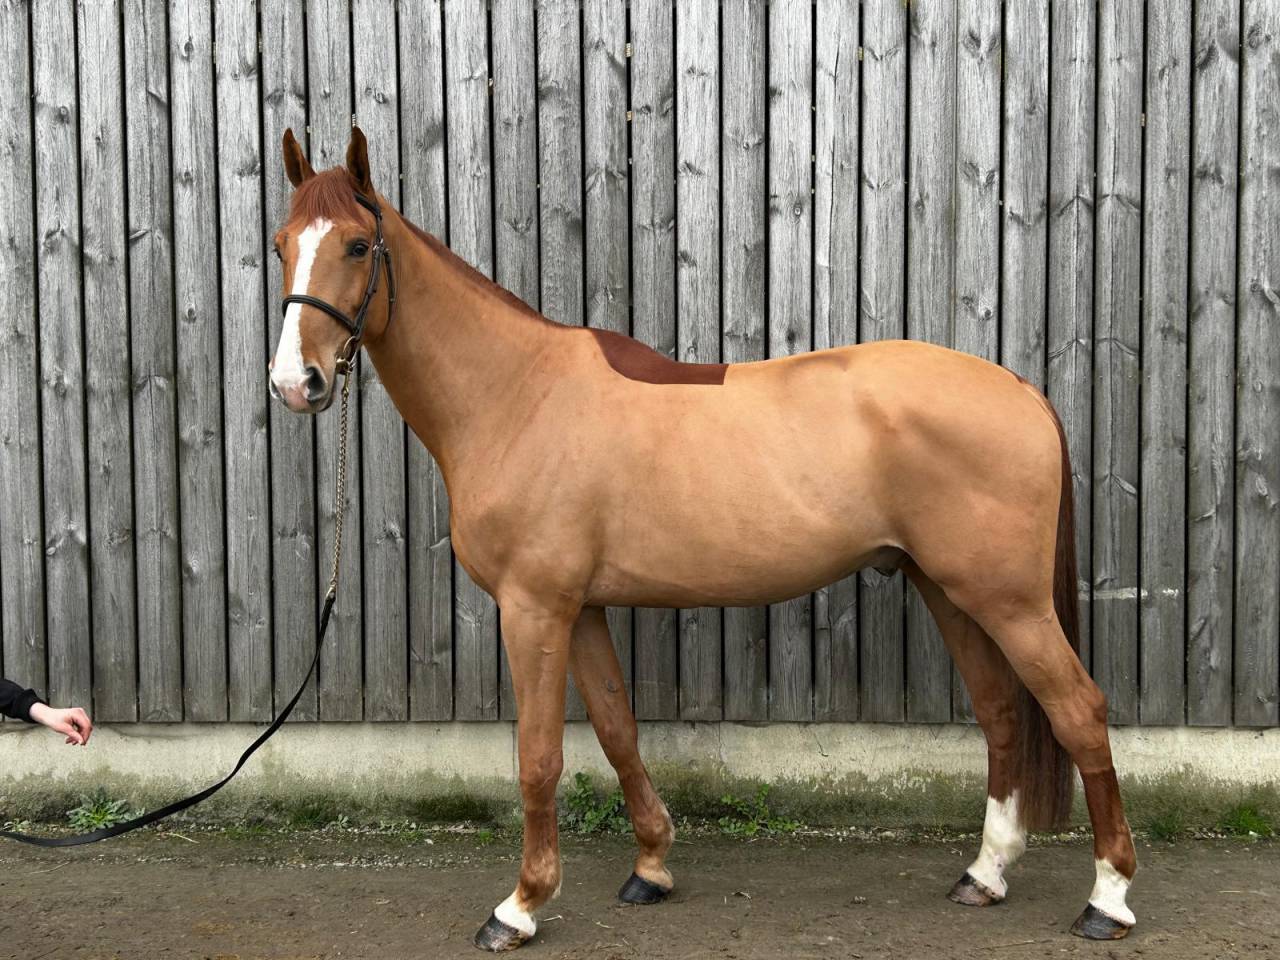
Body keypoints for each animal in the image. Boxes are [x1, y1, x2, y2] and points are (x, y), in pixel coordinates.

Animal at [266, 127, 1136, 952]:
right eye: (281, 243)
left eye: (356, 245)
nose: (295, 383)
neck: (518, 393)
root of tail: (1021, 390)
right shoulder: (582, 608)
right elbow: (617, 730)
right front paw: (651, 865)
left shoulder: (534, 607)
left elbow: (539, 759)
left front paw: (520, 906)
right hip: (949, 589)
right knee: (1001, 711)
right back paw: (985, 873)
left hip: (1010, 601)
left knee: (1078, 710)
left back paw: (1107, 897)